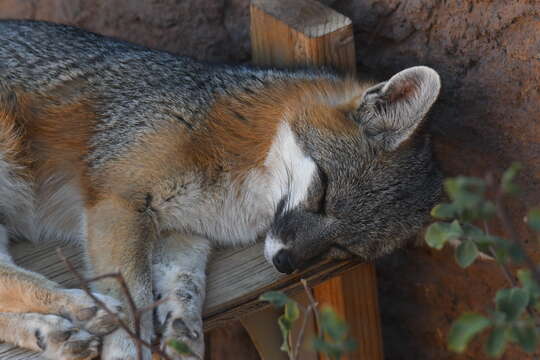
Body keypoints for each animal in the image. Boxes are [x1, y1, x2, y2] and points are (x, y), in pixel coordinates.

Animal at [0, 20, 440, 360]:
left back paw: (55, 333)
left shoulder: (183, 230)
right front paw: (130, 348)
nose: (284, 263)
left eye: (343, 248)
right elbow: (135, 296)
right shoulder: (118, 202)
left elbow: (186, 287)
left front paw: (183, 335)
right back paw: (78, 310)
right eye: (324, 192)